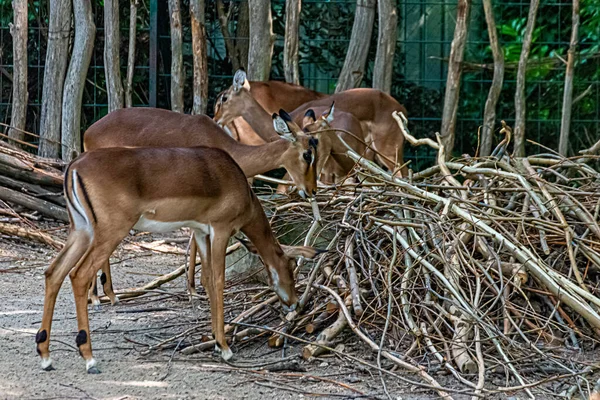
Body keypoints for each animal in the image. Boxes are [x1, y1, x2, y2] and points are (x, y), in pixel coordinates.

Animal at [34, 147, 322, 376]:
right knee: (78, 275)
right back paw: (89, 359)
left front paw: (215, 342)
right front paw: (225, 347)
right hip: (108, 233)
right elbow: (219, 281)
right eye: (291, 268)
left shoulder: (202, 233)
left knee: (53, 273)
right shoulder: (220, 229)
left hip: (81, 231)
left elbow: (207, 280)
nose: (294, 302)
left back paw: (46, 356)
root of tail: (74, 166)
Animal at [83, 106, 324, 306]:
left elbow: (194, 240)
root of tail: (89, 132)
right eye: (307, 154)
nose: (312, 190)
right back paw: (98, 296)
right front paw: (197, 290)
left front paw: (193, 289)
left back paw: (107, 294)